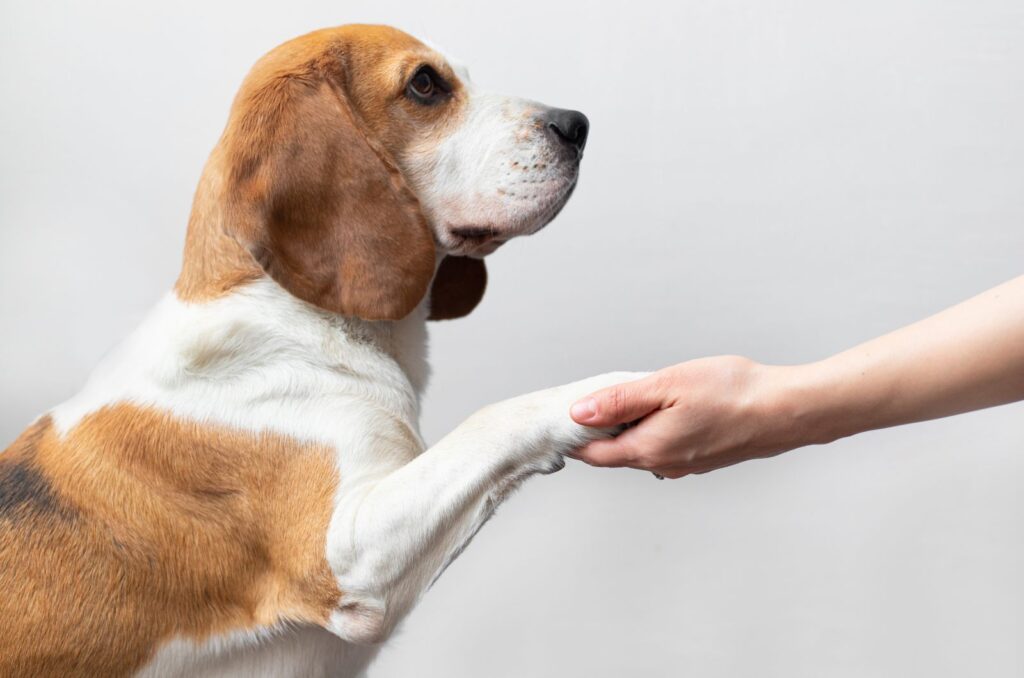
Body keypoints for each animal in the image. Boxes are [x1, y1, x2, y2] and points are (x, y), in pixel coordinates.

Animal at [0, 23, 638, 675]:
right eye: (426, 85)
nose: (577, 125)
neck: (296, 318)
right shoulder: (349, 555)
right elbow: (492, 420)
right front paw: (601, 392)